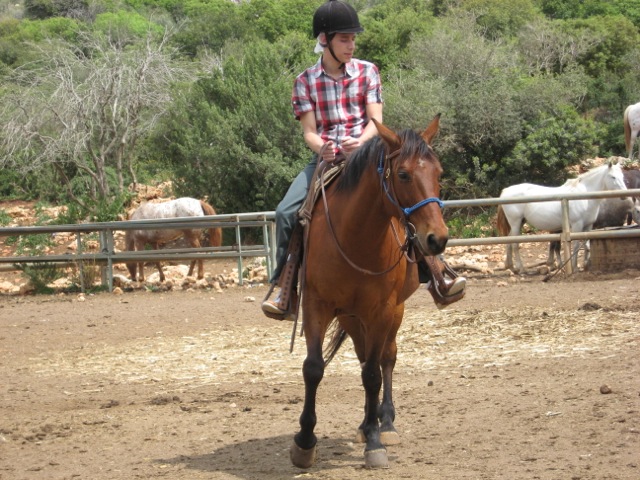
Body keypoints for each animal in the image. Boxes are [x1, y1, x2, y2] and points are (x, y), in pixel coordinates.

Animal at [289, 116, 449, 470]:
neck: (355, 238)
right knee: (364, 358)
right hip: (351, 317)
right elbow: (314, 368)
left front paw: (376, 442)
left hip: (392, 313)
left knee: (385, 359)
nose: (437, 239)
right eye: (402, 174)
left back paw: (384, 422)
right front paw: (304, 441)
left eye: (439, 173)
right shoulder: (317, 306)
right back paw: (366, 422)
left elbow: (374, 375)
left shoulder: (381, 311)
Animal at [496, 161, 627, 274]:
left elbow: (587, 246)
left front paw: (586, 265)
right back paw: (522, 269)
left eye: (622, 176)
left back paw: (511, 267)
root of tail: (505, 191)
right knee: (515, 244)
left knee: (509, 240)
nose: (624, 195)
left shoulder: (588, 226)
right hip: (516, 222)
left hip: (520, 222)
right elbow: (576, 246)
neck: (583, 196)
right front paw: (574, 268)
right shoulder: (576, 225)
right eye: (612, 177)